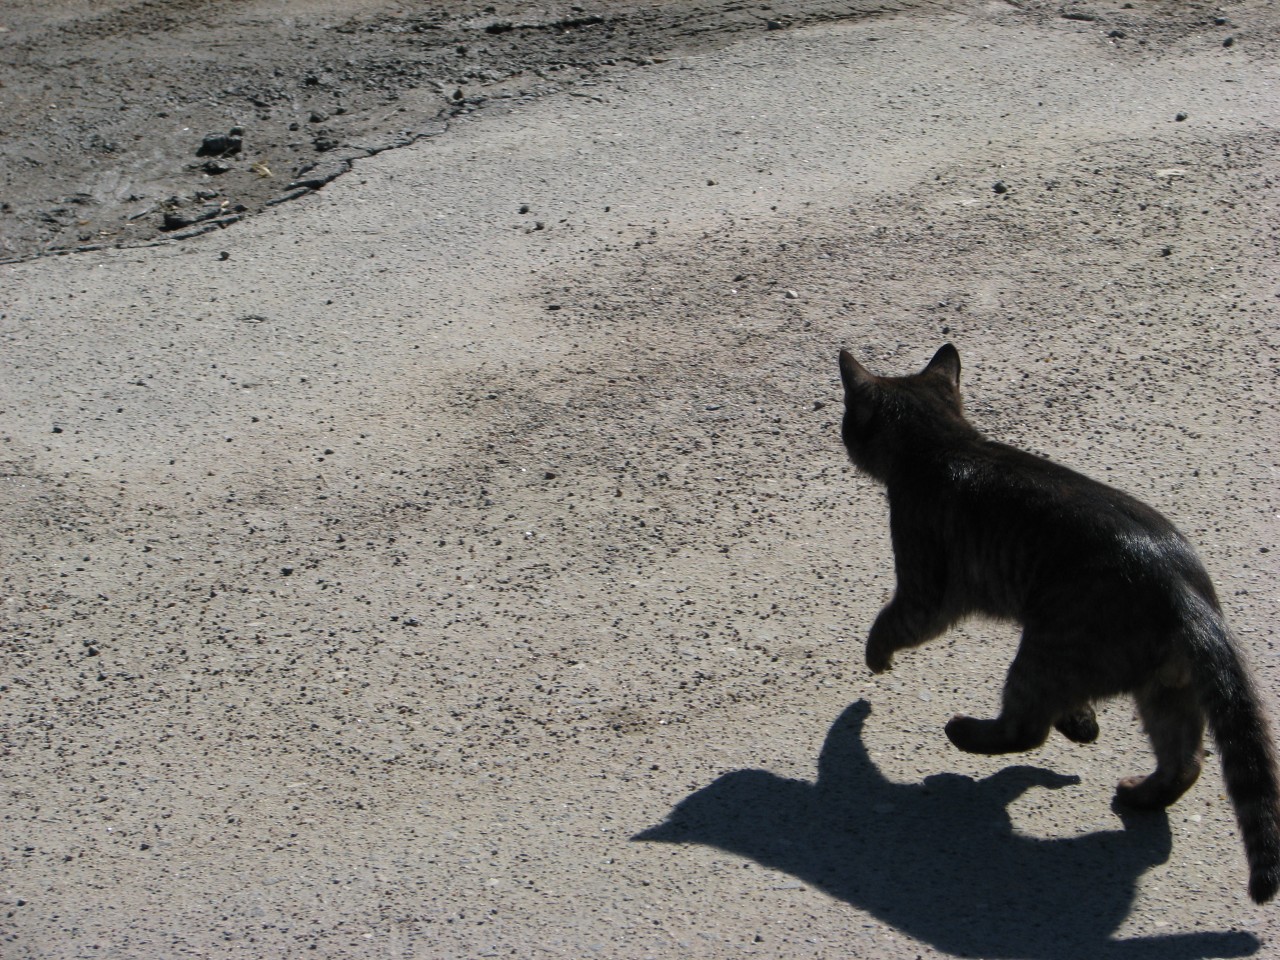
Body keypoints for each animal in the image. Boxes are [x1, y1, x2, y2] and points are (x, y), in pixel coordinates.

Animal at [839, 348, 1280, 911]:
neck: (945, 444)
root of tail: (1188, 596)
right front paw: (1081, 720)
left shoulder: (927, 593)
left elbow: (892, 623)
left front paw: (876, 658)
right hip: (1162, 691)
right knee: (1186, 760)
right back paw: (1140, 794)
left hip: (1043, 653)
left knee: (1026, 730)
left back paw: (966, 733)